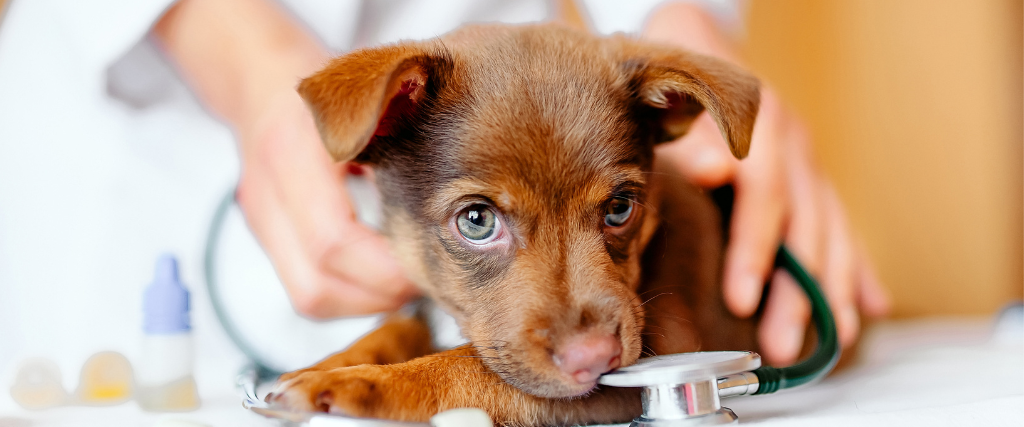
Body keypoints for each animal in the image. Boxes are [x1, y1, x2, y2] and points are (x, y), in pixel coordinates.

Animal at [268, 24, 765, 425]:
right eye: (476, 221)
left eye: (620, 208)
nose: (594, 360)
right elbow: (398, 326)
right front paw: (327, 365)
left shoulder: (660, 351)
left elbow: (469, 369)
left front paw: (362, 383)